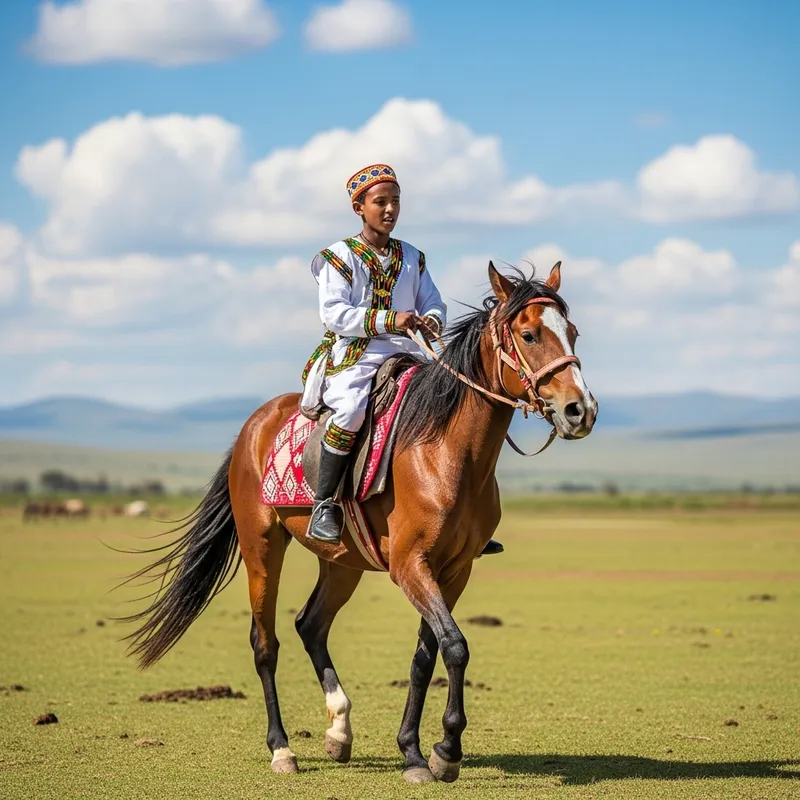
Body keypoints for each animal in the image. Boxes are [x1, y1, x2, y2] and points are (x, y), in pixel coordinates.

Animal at [120, 262, 598, 784]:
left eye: (572, 332)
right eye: (529, 334)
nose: (580, 410)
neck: (447, 452)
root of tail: (255, 423)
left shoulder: (454, 570)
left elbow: (426, 656)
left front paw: (416, 750)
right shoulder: (410, 565)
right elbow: (455, 646)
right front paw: (445, 751)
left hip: (341, 562)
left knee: (311, 625)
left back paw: (339, 731)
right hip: (262, 547)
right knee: (265, 643)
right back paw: (282, 749)